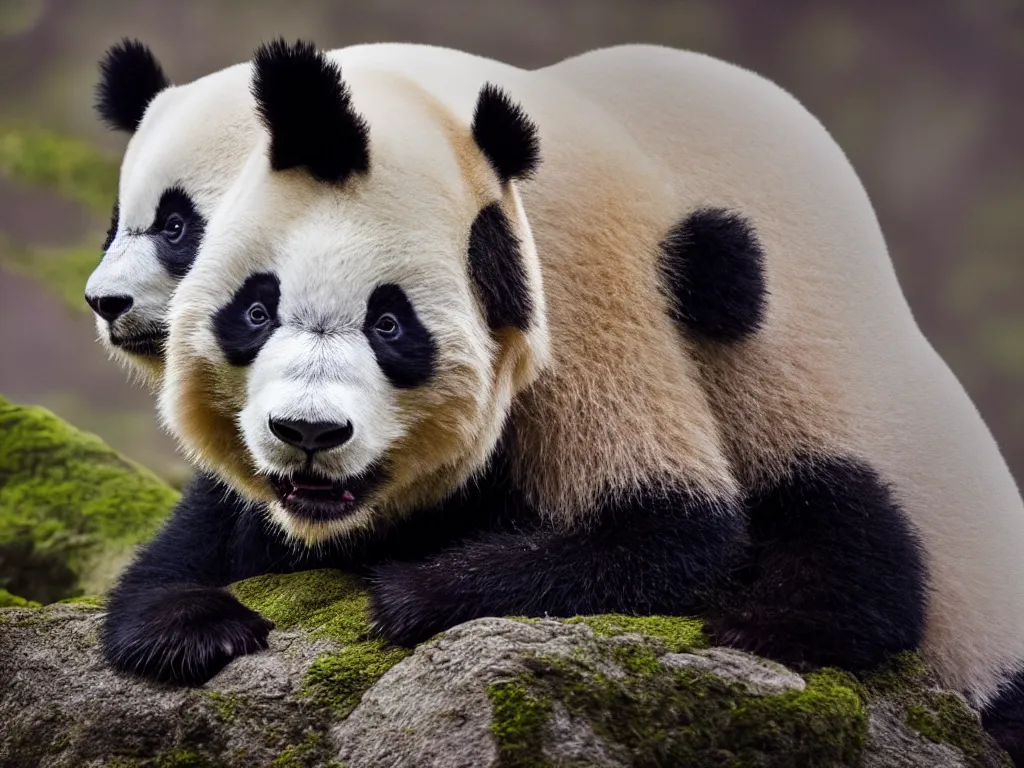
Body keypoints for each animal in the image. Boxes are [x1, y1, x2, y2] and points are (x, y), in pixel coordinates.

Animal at [101, 37, 1024, 765]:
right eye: (254, 311)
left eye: (179, 227)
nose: (307, 432)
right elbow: (201, 537)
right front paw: (193, 624)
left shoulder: (588, 287)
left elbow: (665, 530)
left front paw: (415, 591)